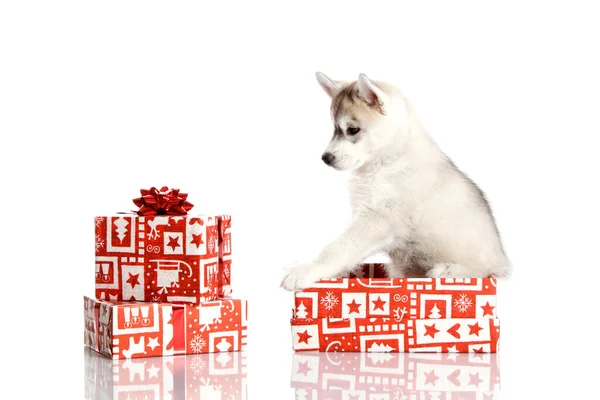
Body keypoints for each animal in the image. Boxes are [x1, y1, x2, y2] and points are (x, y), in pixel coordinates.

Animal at [280, 72, 506, 290]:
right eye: (334, 129)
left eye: (352, 130)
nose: (325, 158)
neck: (386, 160)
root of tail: (503, 260)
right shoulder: (362, 214)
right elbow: (344, 249)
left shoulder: (377, 219)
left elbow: (338, 248)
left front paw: (306, 270)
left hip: (482, 262)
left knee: (482, 270)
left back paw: (448, 271)